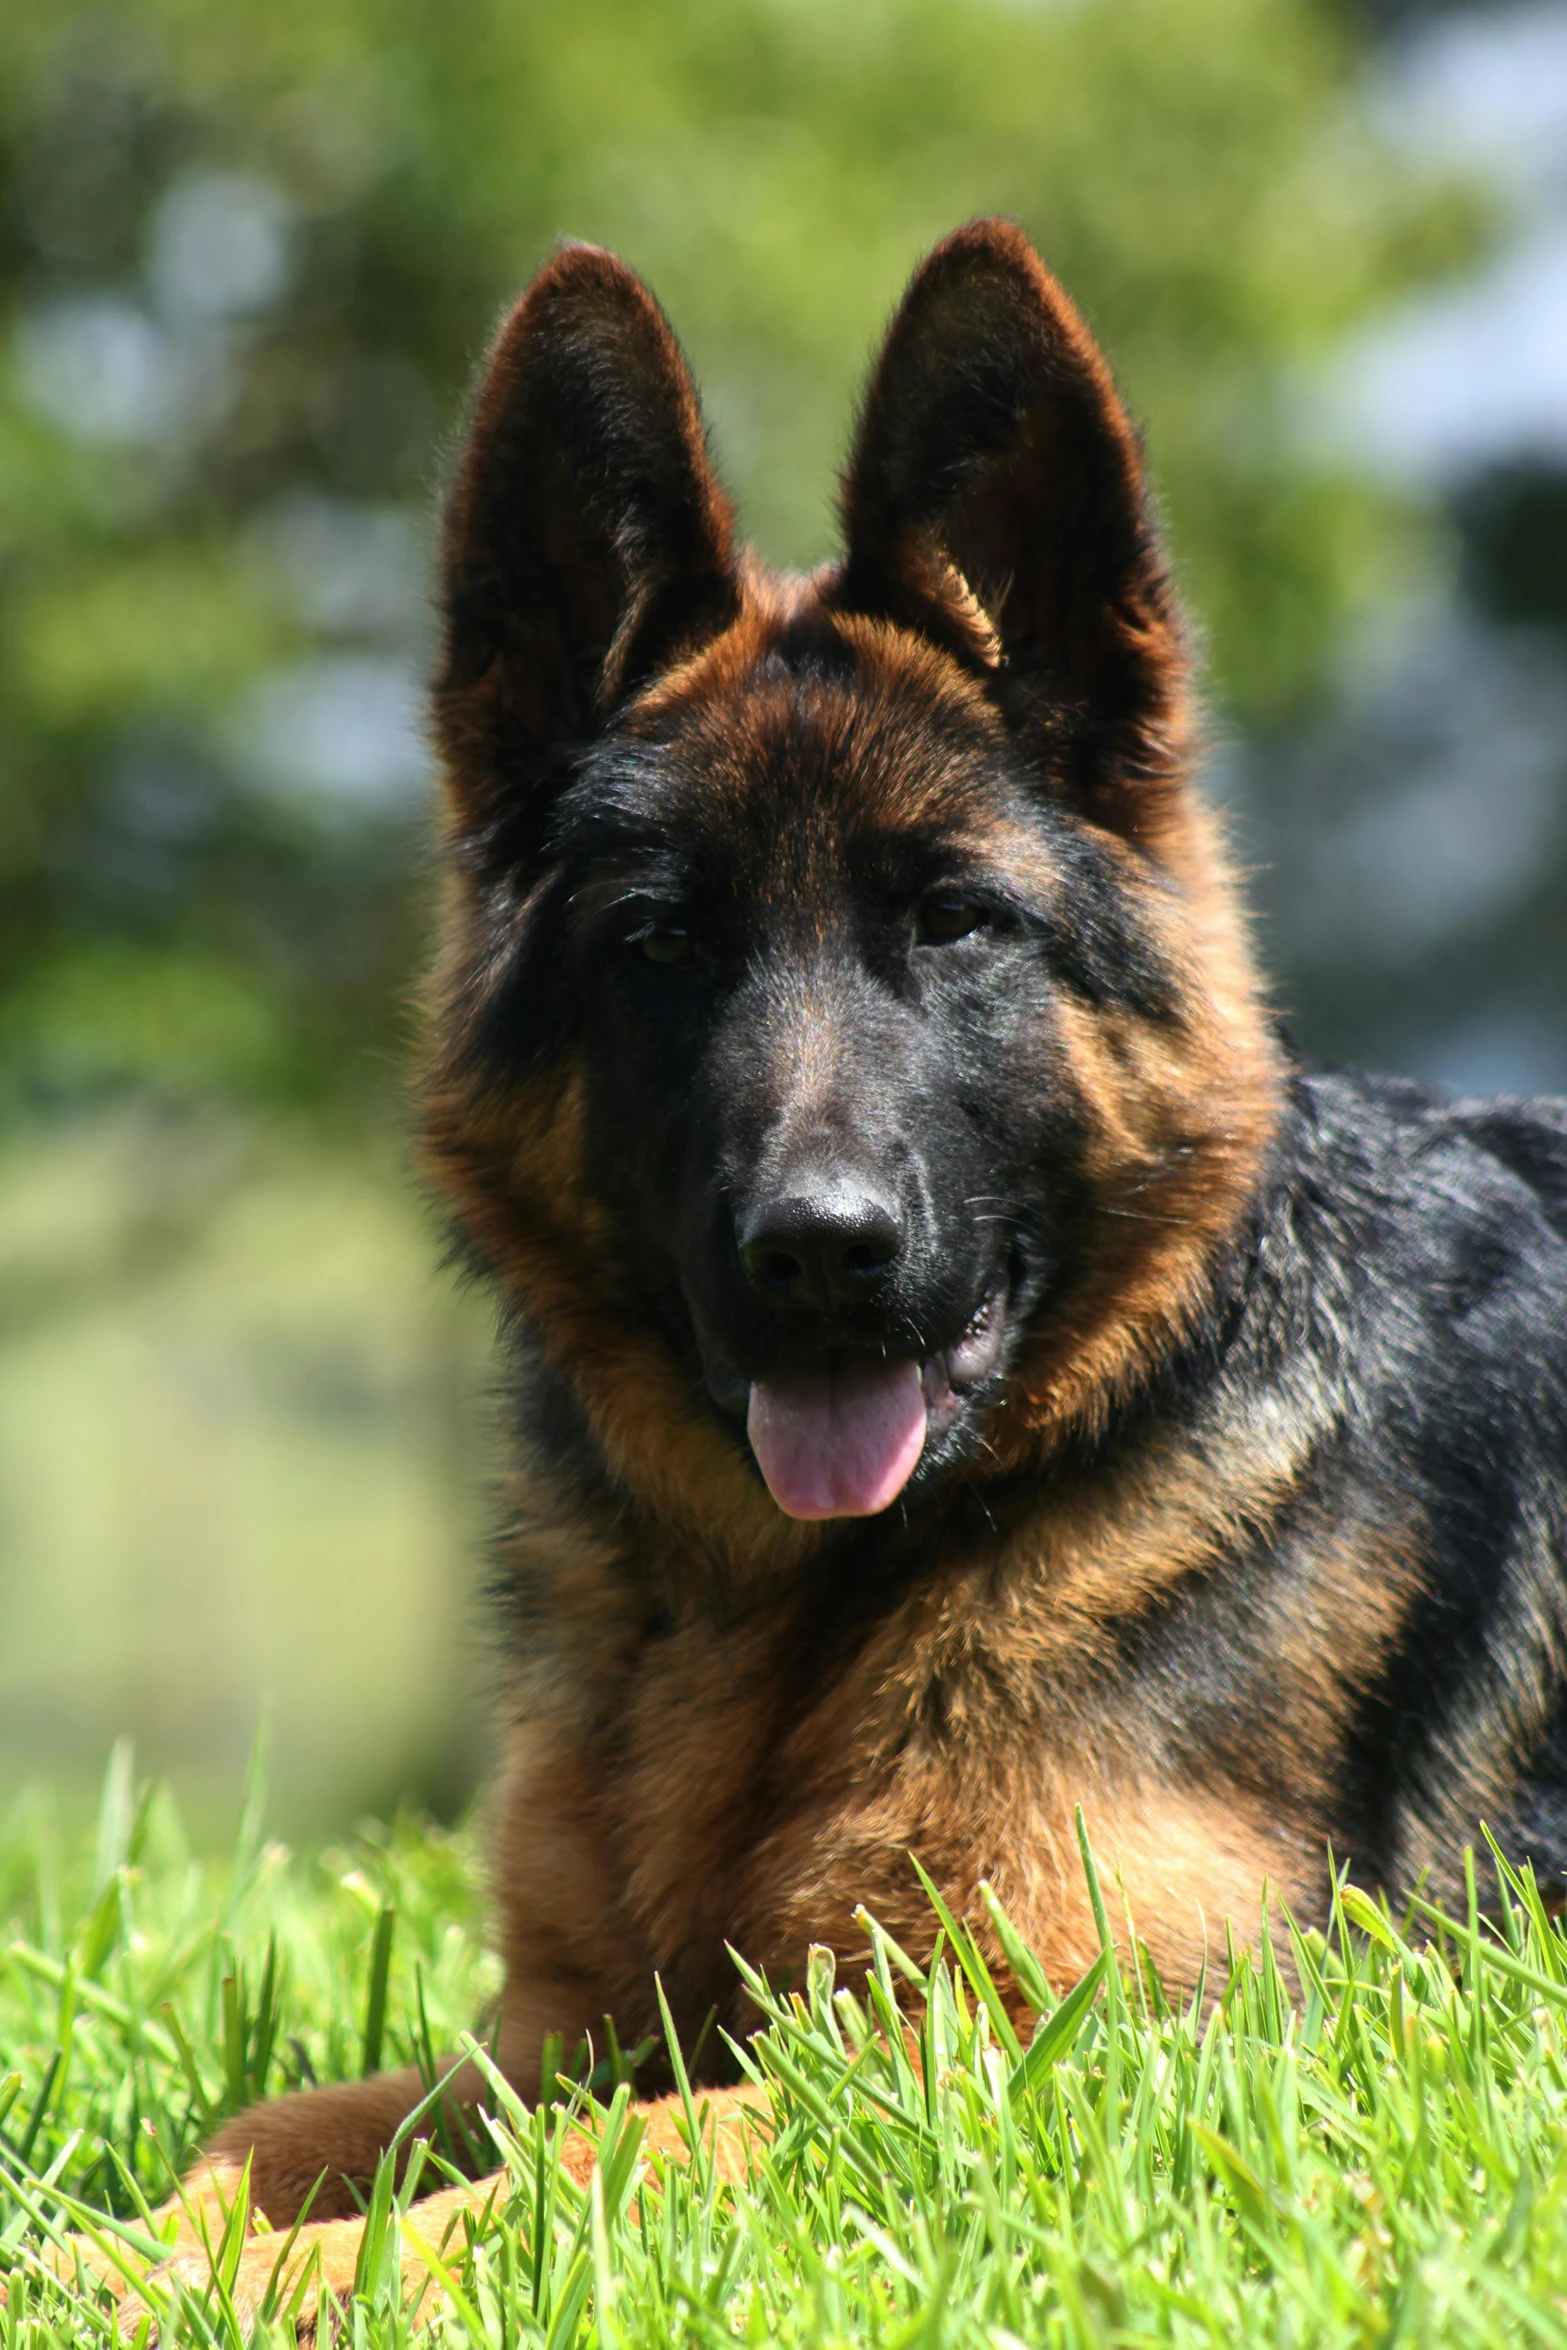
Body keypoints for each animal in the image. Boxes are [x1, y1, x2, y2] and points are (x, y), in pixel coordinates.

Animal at [42, 220, 1567, 2312]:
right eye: (657, 943)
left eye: (952, 923)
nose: (821, 1256)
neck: (816, 1604)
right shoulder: (556, 2027)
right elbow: (267, 2130)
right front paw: (115, 2250)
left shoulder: (1003, 2053)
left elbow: (570, 2170)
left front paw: (234, 2288)